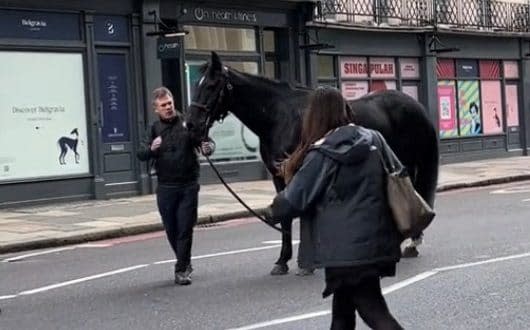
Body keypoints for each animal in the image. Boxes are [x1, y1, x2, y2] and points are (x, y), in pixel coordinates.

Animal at [186, 52, 438, 274]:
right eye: (197, 84)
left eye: (211, 86)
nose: (191, 126)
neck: (279, 116)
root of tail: (416, 105)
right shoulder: (279, 176)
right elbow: (286, 217)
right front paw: (283, 261)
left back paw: (411, 243)